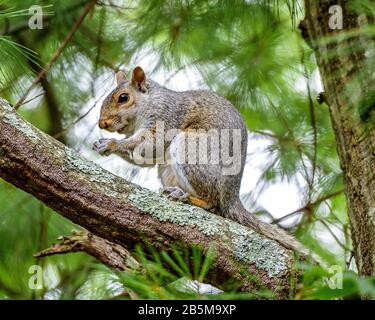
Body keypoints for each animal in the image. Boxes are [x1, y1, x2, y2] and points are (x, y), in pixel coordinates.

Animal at [94, 66, 306, 251]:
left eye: (124, 97)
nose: (102, 123)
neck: (150, 101)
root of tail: (231, 196)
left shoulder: (166, 117)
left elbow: (150, 144)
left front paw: (111, 144)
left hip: (190, 147)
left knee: (214, 203)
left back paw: (187, 197)